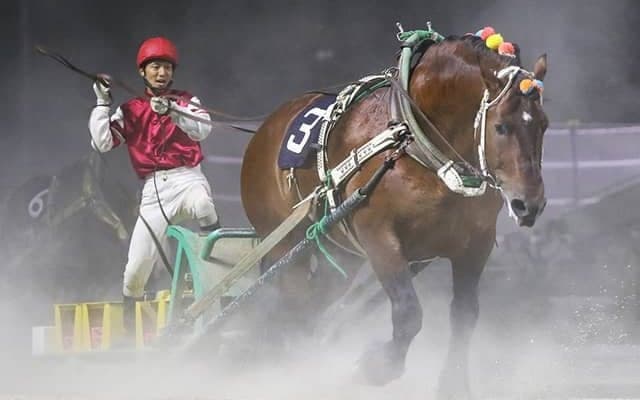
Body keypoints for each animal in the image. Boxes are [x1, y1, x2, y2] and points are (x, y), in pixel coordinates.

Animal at [241, 33, 548, 399]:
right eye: (500, 127)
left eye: (544, 125)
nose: (529, 203)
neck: (416, 145)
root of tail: (262, 133)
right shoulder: (380, 239)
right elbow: (408, 312)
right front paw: (378, 367)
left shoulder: (476, 244)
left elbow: (464, 315)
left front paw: (453, 385)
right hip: (285, 248)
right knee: (296, 304)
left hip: (340, 258)